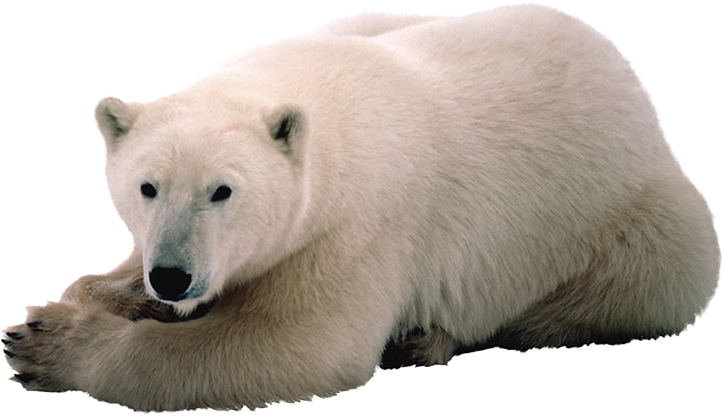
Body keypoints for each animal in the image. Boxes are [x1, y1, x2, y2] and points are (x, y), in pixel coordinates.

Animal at [3, 4, 720, 411]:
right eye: (147, 187)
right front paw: (103, 296)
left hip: (639, 224)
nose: (173, 277)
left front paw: (46, 344)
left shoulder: (359, 227)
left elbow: (301, 344)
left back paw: (425, 338)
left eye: (223, 190)